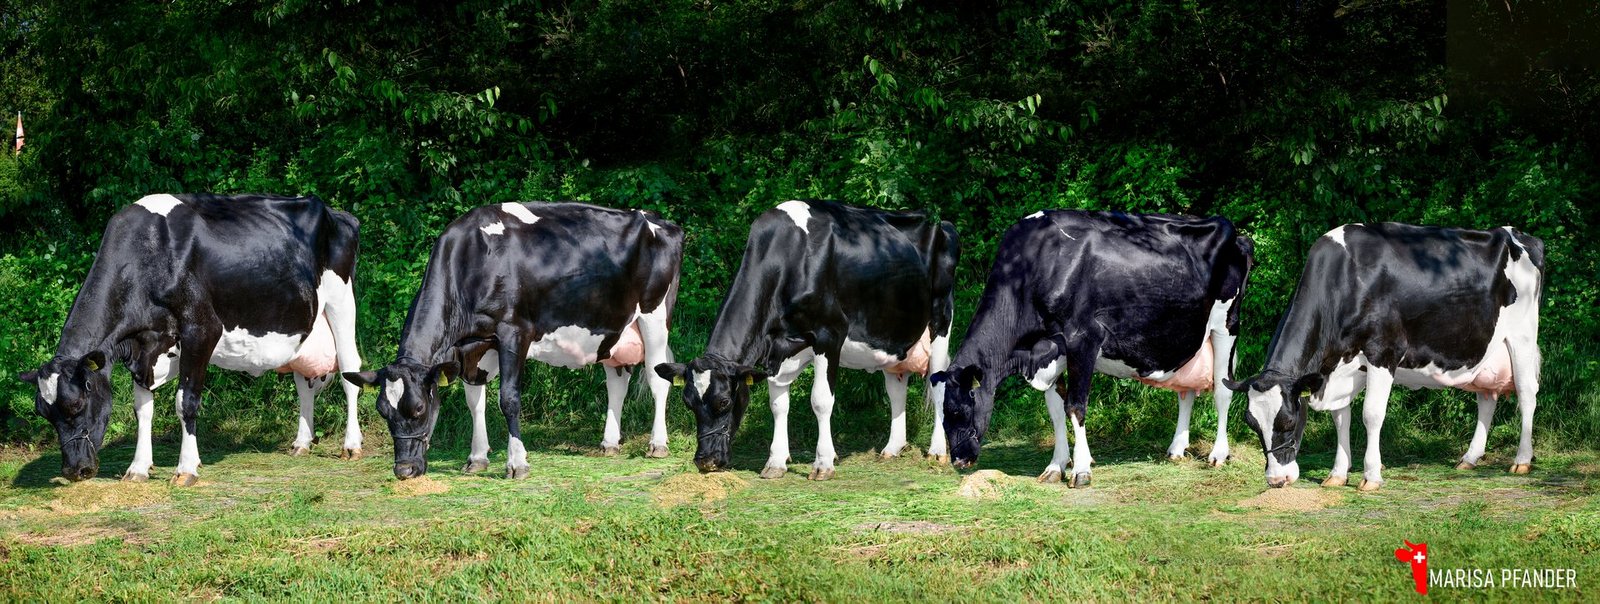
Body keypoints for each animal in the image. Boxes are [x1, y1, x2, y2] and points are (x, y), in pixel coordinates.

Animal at [18, 193, 364, 485]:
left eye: (76, 404)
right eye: (43, 412)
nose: (74, 471)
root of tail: (335, 212)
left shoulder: (202, 330)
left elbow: (186, 402)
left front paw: (186, 468)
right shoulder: (146, 348)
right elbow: (142, 408)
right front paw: (138, 468)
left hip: (341, 302)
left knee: (350, 372)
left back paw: (351, 445)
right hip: (303, 330)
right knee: (303, 384)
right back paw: (302, 443)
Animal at [343, 202, 683, 480]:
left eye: (418, 409)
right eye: (383, 411)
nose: (404, 470)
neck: (472, 260)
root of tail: (658, 220)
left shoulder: (514, 332)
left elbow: (508, 399)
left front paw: (517, 463)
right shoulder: (474, 346)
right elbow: (474, 401)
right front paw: (477, 458)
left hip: (654, 318)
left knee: (657, 379)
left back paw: (657, 444)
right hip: (614, 329)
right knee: (617, 382)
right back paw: (610, 443)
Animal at [654, 199, 959, 480]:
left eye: (725, 402)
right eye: (689, 403)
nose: (705, 461)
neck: (791, 258)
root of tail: (939, 222)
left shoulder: (830, 334)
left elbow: (821, 400)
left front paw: (823, 463)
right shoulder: (778, 349)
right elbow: (778, 404)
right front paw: (776, 462)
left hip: (940, 319)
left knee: (939, 382)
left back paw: (937, 451)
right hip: (893, 338)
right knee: (896, 386)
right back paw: (892, 448)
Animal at [930, 210, 1254, 488]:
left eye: (959, 409)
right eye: (941, 412)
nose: (959, 461)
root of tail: (1234, 233)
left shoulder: (1083, 338)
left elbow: (1075, 406)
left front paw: (1081, 469)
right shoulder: (1052, 350)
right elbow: (1055, 409)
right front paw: (1056, 466)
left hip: (1226, 324)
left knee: (1222, 390)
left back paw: (1218, 454)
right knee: (1186, 392)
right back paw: (1176, 449)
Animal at [1227, 223, 1543, 490]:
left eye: (1289, 423)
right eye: (1253, 424)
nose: (1276, 480)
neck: (1347, 280)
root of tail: (1516, 234)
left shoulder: (1384, 352)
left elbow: (1371, 415)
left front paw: (1371, 476)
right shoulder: (1340, 367)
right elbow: (1340, 418)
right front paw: (1337, 474)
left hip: (1522, 336)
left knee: (1527, 392)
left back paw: (1522, 460)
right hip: (1485, 349)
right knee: (1487, 398)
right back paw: (1470, 458)